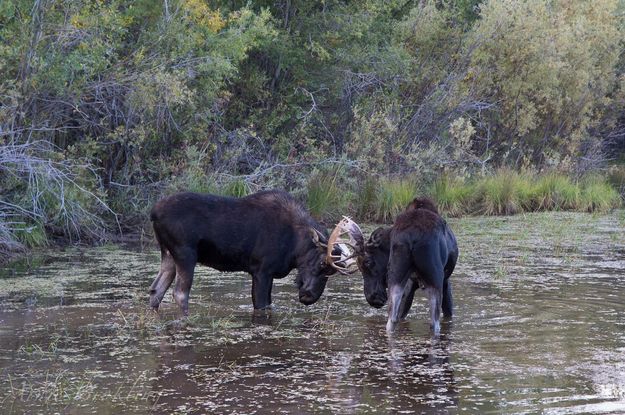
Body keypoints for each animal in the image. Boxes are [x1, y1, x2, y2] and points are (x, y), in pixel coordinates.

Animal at [149, 191, 348, 316]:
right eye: (322, 263)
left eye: (332, 272)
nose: (309, 297)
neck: (295, 248)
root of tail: (153, 213)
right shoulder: (261, 270)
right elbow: (260, 305)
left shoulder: (268, 274)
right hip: (185, 254)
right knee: (180, 293)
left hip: (168, 254)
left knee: (156, 290)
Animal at [326, 198, 458, 334]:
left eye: (368, 262)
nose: (373, 298)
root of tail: (412, 236)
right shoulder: (445, 280)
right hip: (434, 277)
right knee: (434, 323)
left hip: (396, 276)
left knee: (392, 318)